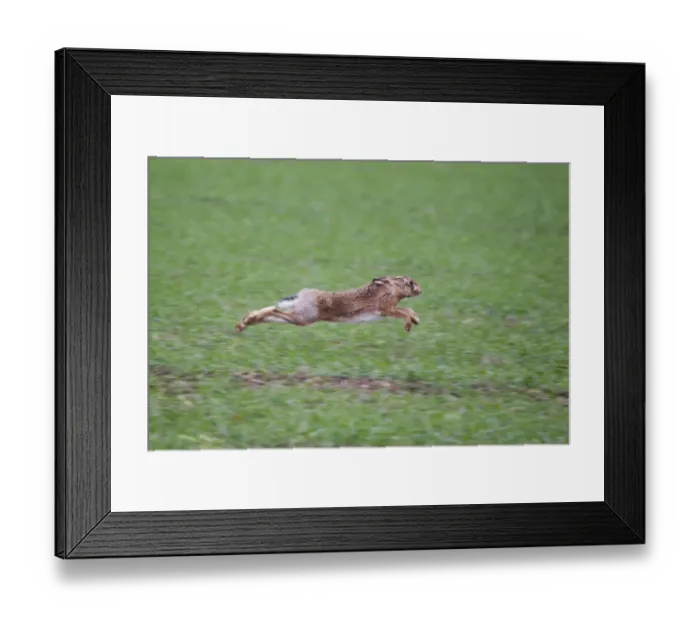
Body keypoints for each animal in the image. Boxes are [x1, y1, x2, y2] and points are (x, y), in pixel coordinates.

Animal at [235, 276, 422, 333]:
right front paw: (409, 325)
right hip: (304, 316)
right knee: (274, 310)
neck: (393, 289)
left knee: (273, 315)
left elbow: (408, 309)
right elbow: (404, 311)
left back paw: (244, 323)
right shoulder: (386, 309)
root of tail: (301, 295)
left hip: (301, 318)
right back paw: (248, 320)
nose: (420, 290)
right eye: (410, 283)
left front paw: (416, 320)